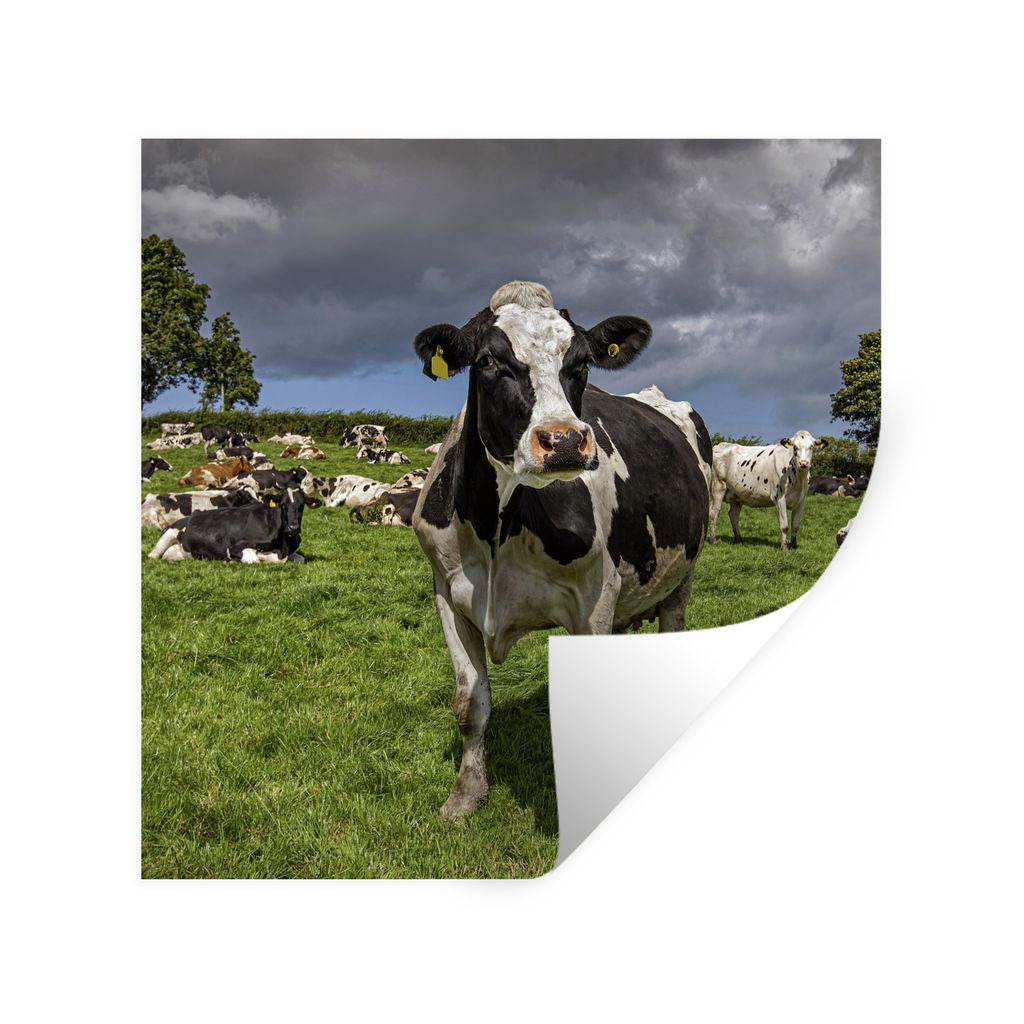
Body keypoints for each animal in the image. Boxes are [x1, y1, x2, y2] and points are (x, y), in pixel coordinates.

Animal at [148, 485, 323, 563]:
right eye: (283, 505)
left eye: (301, 506)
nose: (293, 528)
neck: (283, 546)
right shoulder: (235, 547)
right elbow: (254, 559)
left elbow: (300, 558)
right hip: (168, 536)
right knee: (152, 556)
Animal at [411, 280, 711, 818]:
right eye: (489, 361)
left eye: (582, 363)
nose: (565, 441)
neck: (497, 526)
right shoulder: (448, 592)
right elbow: (471, 703)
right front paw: (465, 795)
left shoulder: (596, 599)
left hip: (683, 575)